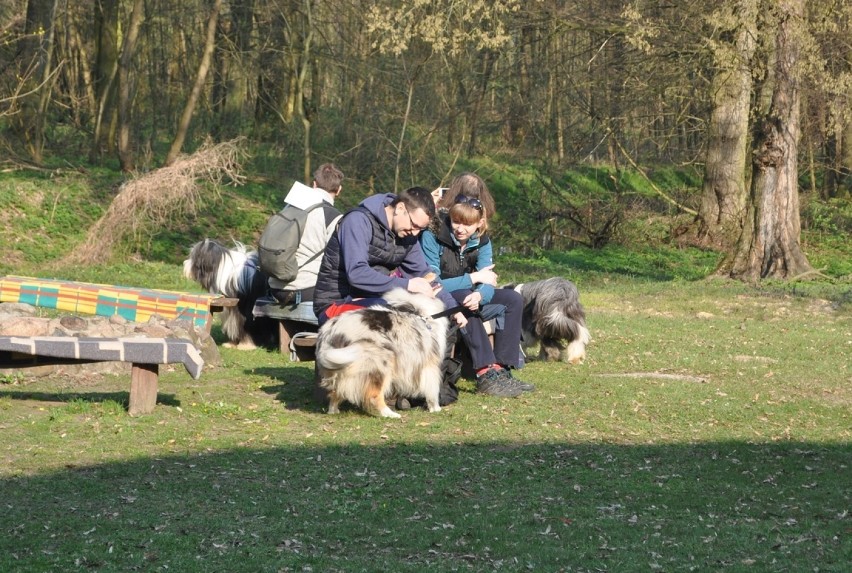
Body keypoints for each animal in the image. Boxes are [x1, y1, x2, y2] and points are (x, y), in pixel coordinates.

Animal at [314, 288, 450, 418]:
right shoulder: (429, 364)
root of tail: (331, 332)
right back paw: (390, 414)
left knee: (335, 392)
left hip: (341, 368)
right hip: (381, 363)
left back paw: (333, 411)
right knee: (374, 396)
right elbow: (432, 389)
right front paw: (435, 408)